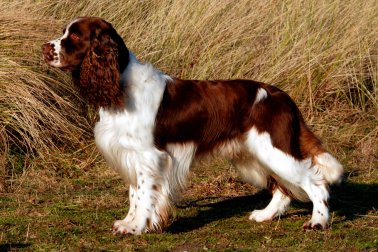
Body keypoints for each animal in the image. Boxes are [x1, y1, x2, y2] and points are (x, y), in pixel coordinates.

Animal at [41, 17, 342, 234]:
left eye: (74, 37)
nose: (45, 48)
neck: (120, 87)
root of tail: (283, 97)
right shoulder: (132, 154)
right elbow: (134, 194)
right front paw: (129, 223)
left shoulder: (149, 156)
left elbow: (144, 194)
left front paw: (137, 227)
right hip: (255, 154)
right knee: (283, 189)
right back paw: (264, 215)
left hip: (274, 149)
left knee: (316, 183)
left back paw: (318, 222)